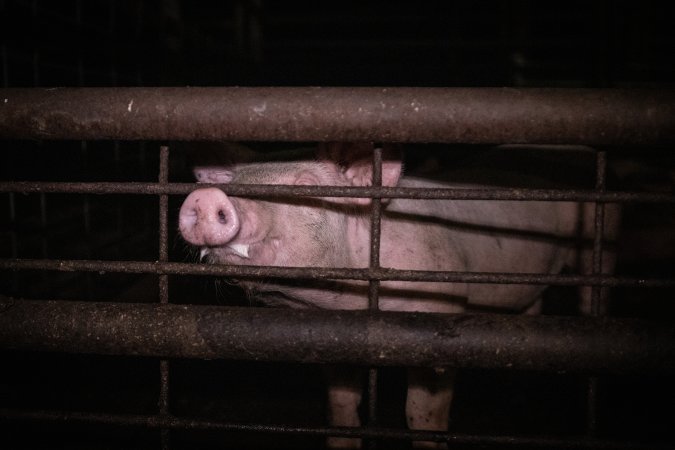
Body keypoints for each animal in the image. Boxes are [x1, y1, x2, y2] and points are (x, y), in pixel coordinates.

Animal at [177, 142, 620, 448]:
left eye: (306, 186)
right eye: (233, 184)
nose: (206, 197)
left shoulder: (442, 316)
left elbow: (421, 412)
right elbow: (341, 406)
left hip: (600, 243)